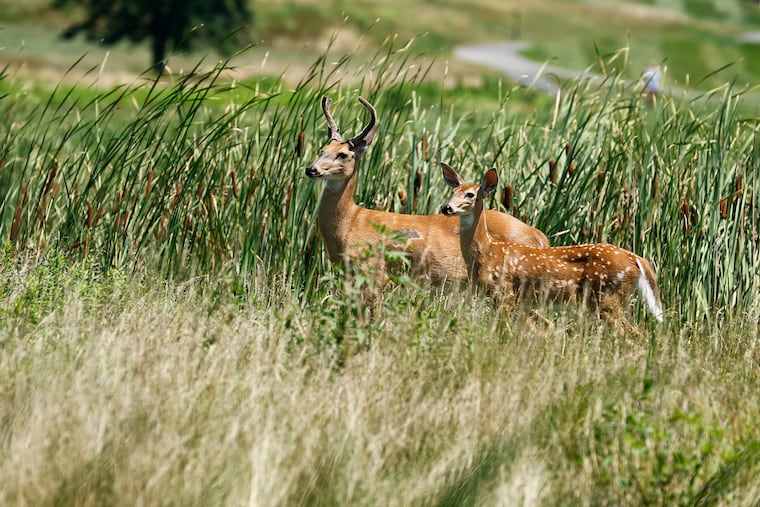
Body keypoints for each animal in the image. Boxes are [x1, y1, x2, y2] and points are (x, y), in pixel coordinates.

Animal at [304, 96, 550, 288]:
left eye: (344, 154)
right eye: (322, 149)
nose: (311, 169)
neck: (351, 222)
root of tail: (541, 238)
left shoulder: (375, 271)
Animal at [439, 163, 664, 322]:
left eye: (470, 194)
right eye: (452, 192)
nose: (446, 207)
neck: (487, 252)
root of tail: (637, 259)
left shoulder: (505, 293)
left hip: (609, 296)